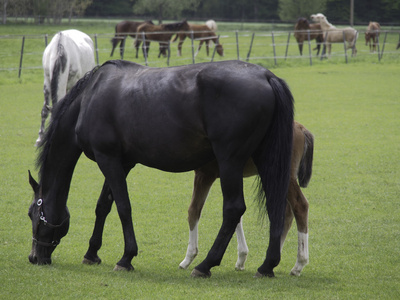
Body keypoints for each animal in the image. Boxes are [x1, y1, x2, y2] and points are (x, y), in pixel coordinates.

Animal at [28, 59, 296, 278]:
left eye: (33, 214)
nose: (34, 257)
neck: (90, 97)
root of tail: (266, 76)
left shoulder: (108, 159)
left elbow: (123, 207)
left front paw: (126, 258)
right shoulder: (121, 162)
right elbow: (104, 206)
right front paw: (92, 253)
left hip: (230, 161)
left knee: (233, 209)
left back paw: (205, 265)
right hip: (264, 159)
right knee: (275, 205)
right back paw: (267, 265)